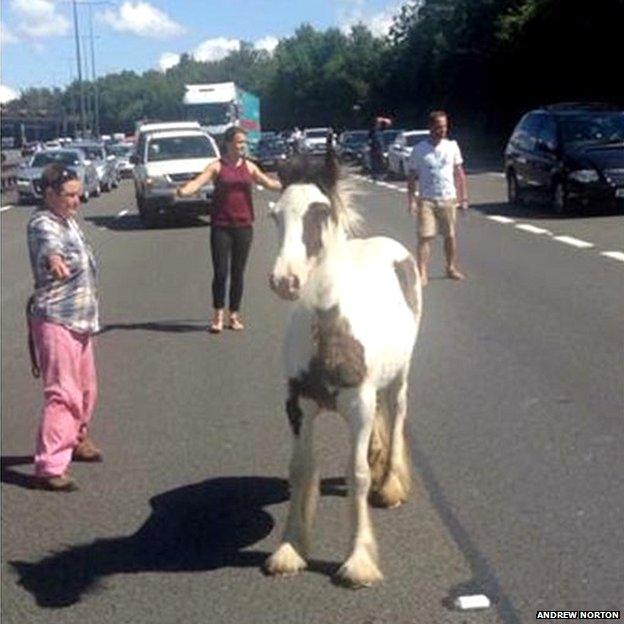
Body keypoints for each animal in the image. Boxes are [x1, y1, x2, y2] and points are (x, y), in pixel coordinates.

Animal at [264, 152, 424, 588]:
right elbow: (300, 471)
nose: (284, 280)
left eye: (319, 212)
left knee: (397, 412)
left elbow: (357, 474)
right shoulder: (297, 404)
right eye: (275, 215)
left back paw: (391, 484)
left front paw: (358, 561)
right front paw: (290, 549)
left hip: (399, 376)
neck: (329, 329)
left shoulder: (359, 405)